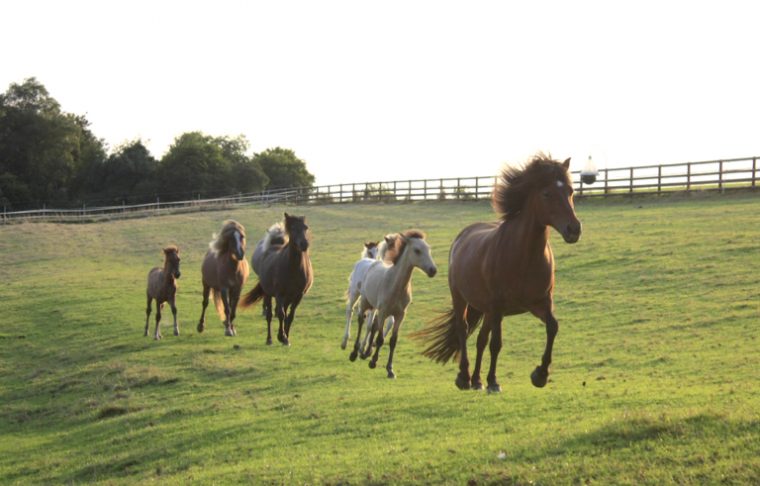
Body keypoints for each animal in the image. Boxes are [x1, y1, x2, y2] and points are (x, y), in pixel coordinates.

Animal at [243, 213, 314, 346]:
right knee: (270, 315)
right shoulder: (279, 294)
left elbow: (290, 316)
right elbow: (281, 315)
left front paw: (286, 337)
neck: (294, 268)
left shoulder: (298, 295)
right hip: (268, 293)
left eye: (305, 227)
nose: (304, 244)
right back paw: (269, 339)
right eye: (292, 228)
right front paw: (282, 337)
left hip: (287, 298)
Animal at [354, 232, 436, 380]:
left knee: (373, 326)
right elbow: (380, 338)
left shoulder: (400, 315)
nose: (433, 270)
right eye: (417, 250)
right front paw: (373, 362)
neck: (395, 285)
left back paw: (365, 352)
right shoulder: (383, 312)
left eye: (429, 249)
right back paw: (355, 352)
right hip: (365, 303)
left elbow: (393, 340)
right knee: (361, 321)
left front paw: (390, 370)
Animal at [410, 154, 580, 392]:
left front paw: (540, 375)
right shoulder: (499, 306)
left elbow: (552, 327)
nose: (574, 229)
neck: (524, 257)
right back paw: (465, 378)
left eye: (571, 191)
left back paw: (476, 380)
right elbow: (496, 343)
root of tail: (463, 235)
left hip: (487, 310)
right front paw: (494, 382)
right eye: (547, 193)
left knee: (480, 338)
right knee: (463, 330)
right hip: (461, 298)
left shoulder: (540, 303)